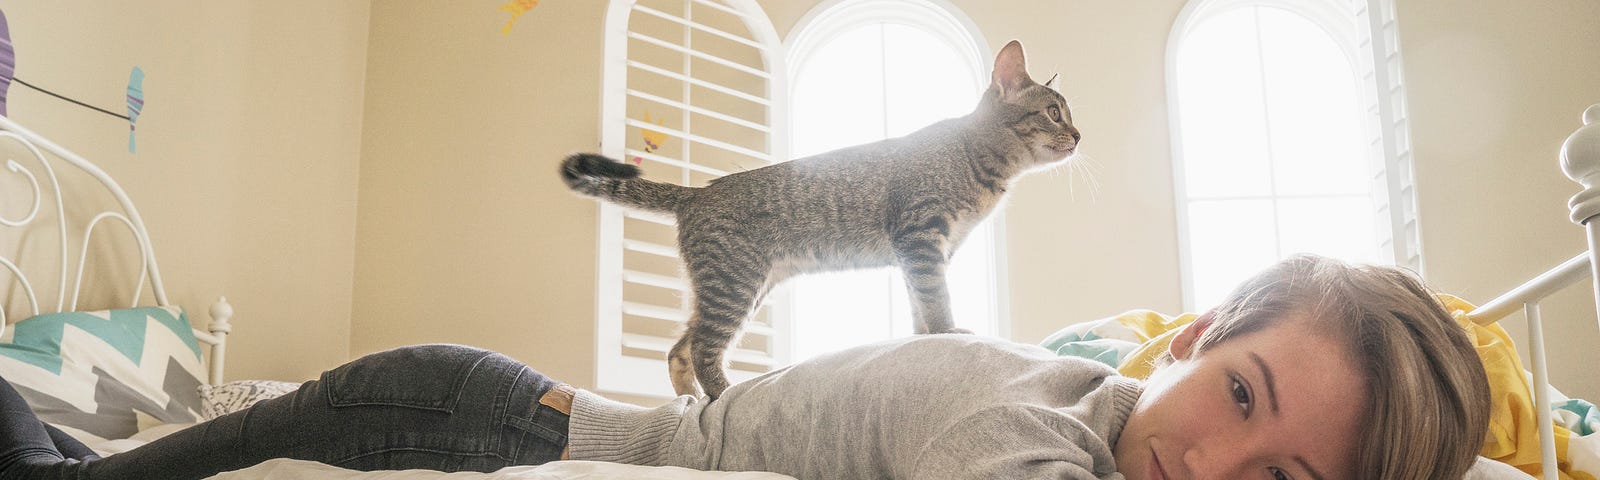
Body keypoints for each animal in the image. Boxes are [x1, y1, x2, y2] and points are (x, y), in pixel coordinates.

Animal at [560, 39, 1075, 400]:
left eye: (1067, 115)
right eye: (1054, 112)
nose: (1079, 135)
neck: (979, 162)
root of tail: (699, 193)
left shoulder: (922, 251)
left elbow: (918, 304)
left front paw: (926, 338)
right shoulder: (921, 236)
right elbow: (936, 297)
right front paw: (949, 332)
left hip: (734, 288)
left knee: (679, 349)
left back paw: (687, 405)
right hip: (734, 286)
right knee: (704, 348)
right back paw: (723, 395)